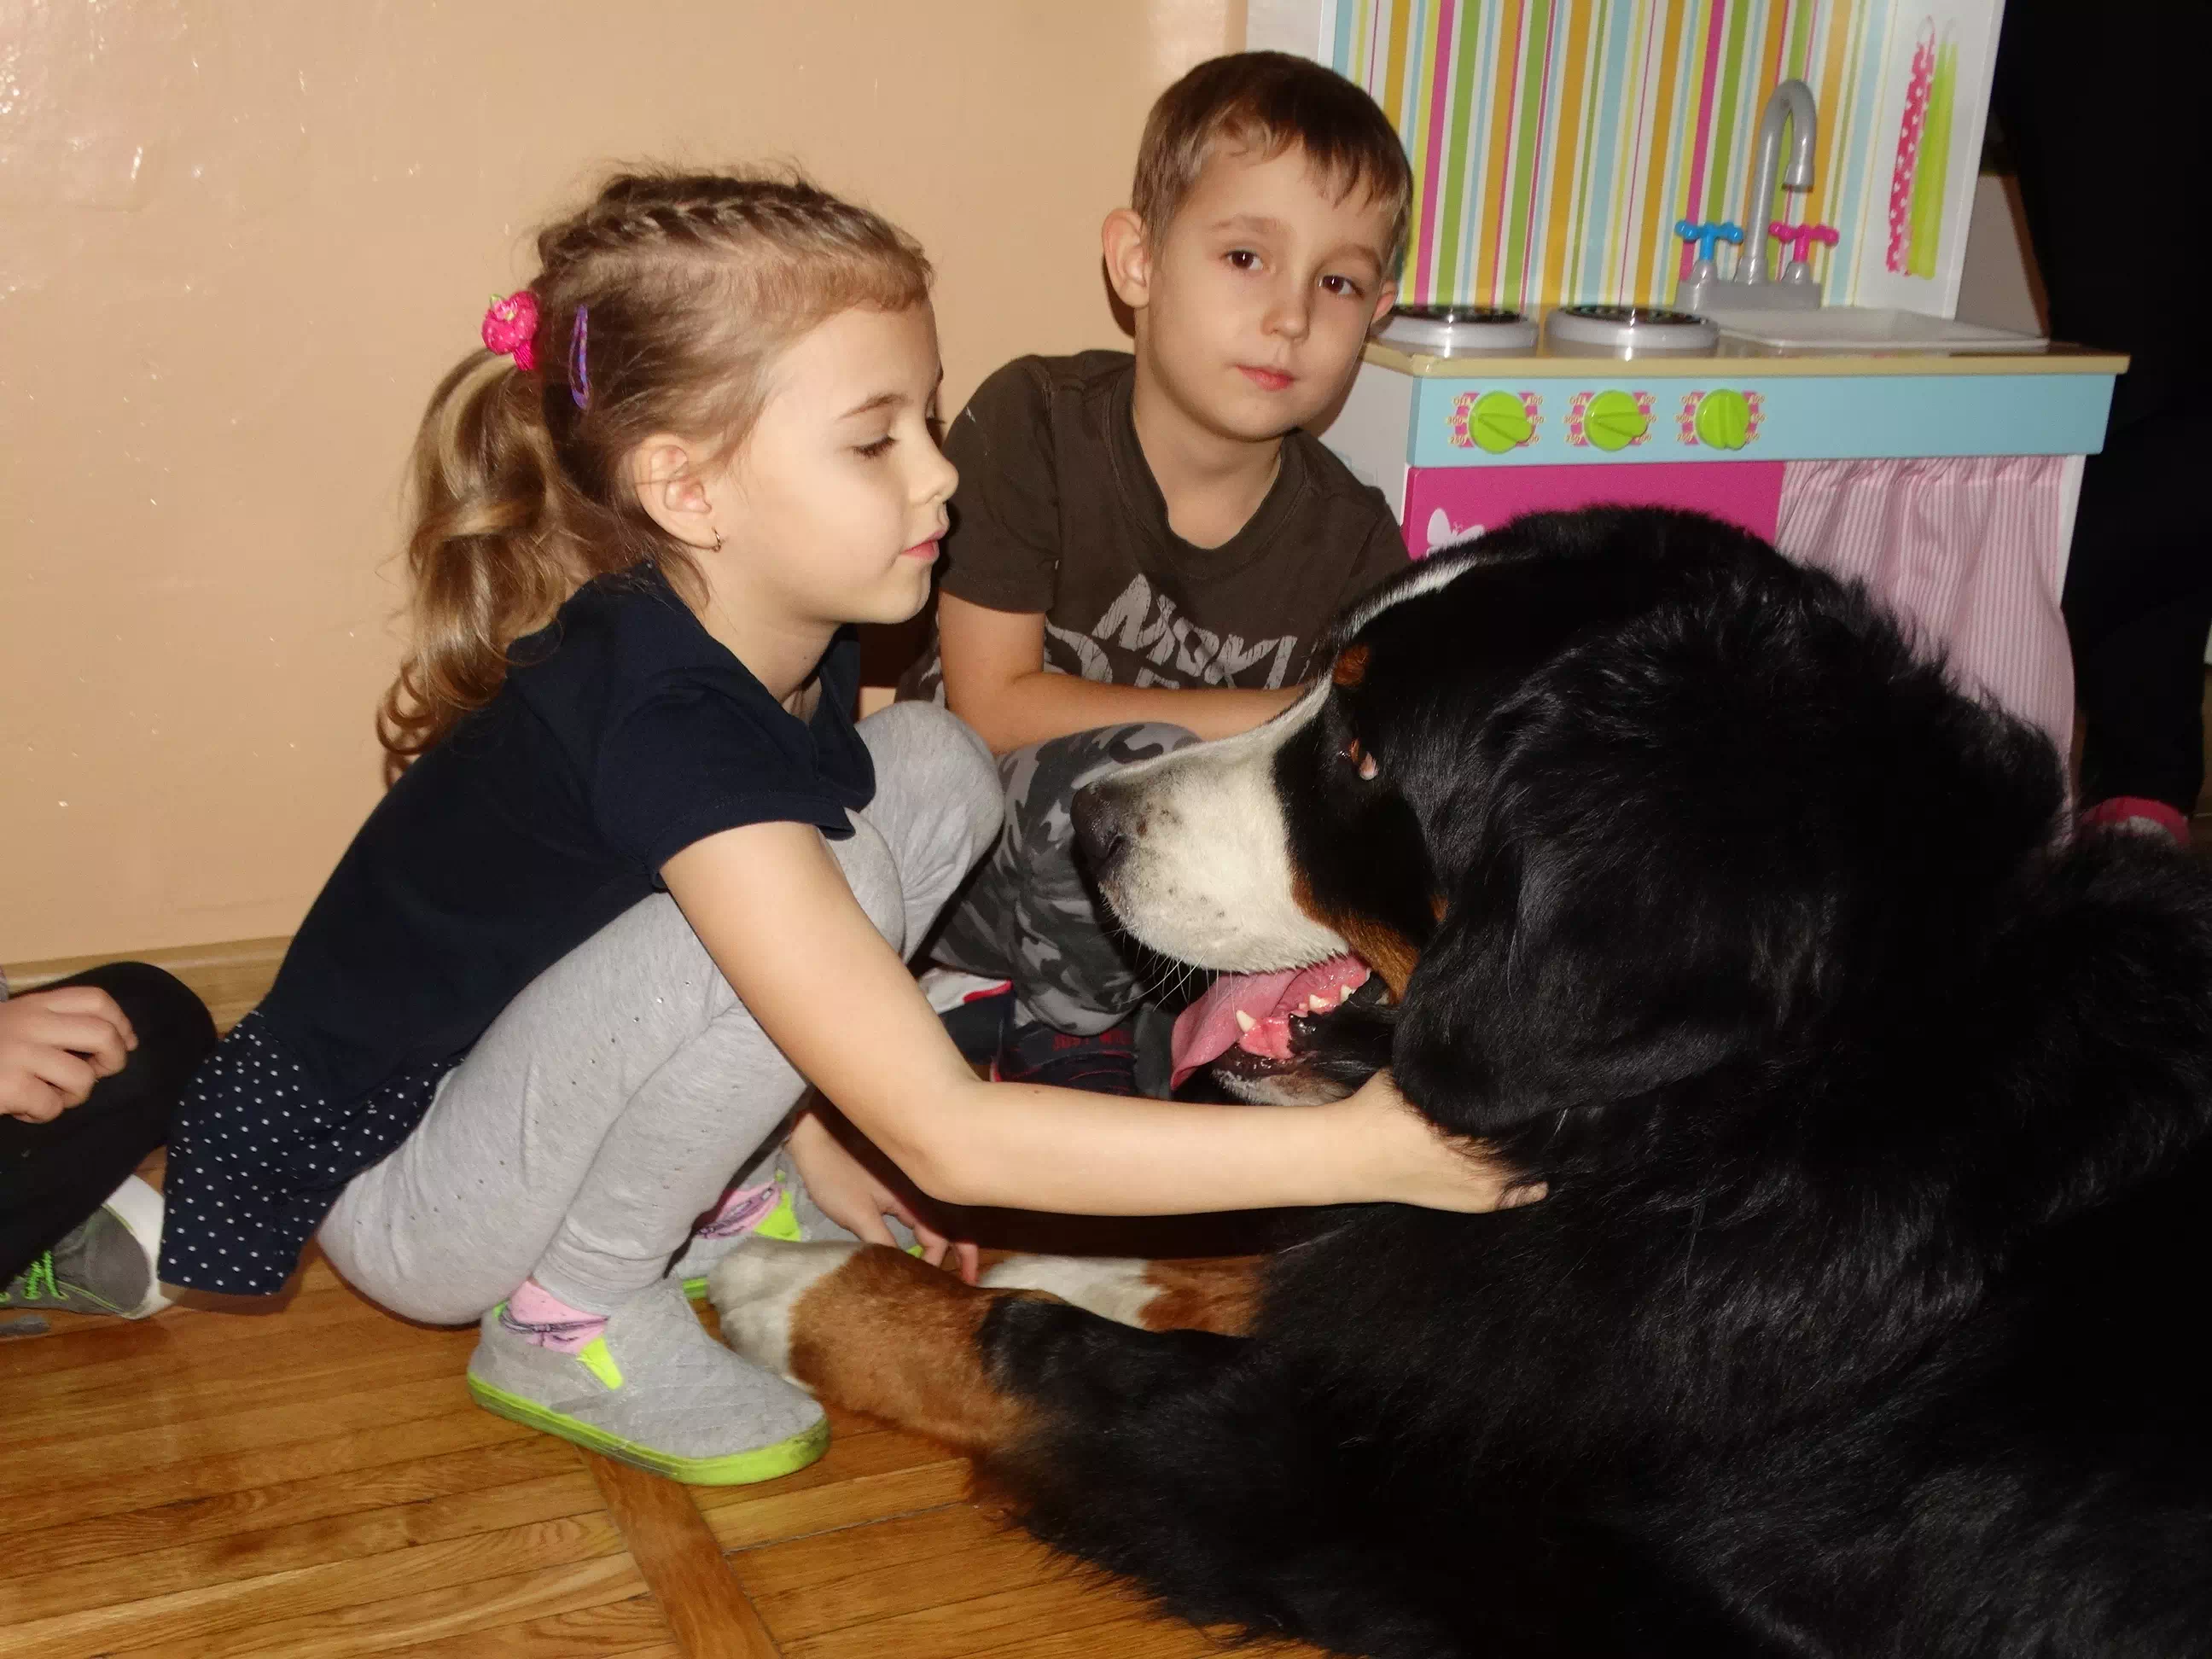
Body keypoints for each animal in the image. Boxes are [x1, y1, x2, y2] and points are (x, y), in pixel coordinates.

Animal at [713, 508, 2212, 1657]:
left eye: (1364, 757)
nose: (1089, 824)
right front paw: (1071, 1256)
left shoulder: (1428, 1502)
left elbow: (1065, 1358)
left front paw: (811, 1285)